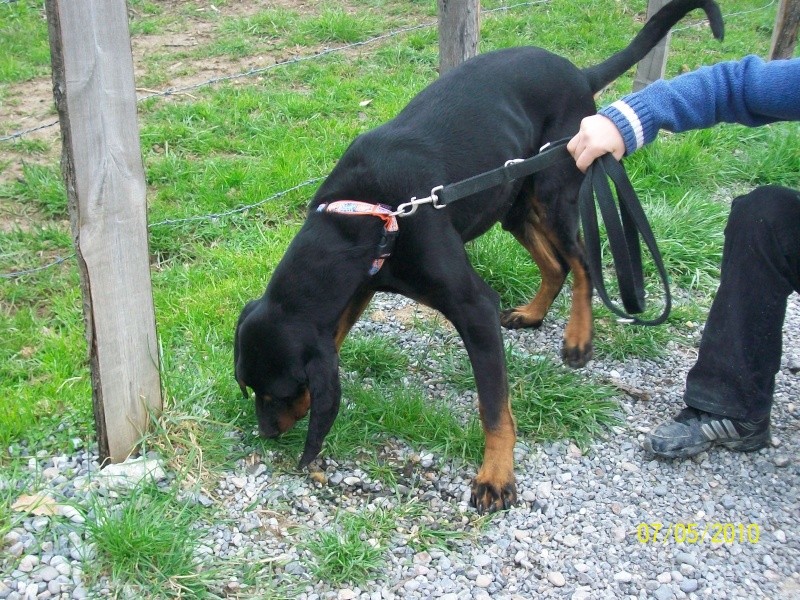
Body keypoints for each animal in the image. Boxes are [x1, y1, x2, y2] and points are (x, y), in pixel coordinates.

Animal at [234, 0, 720, 512]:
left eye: (277, 392)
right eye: (248, 385)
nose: (265, 433)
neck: (368, 212)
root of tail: (580, 75)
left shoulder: (473, 307)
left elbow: (493, 408)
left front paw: (496, 476)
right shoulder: (361, 285)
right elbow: (338, 335)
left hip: (554, 190)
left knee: (582, 261)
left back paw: (578, 340)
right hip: (513, 203)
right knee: (556, 265)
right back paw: (532, 313)